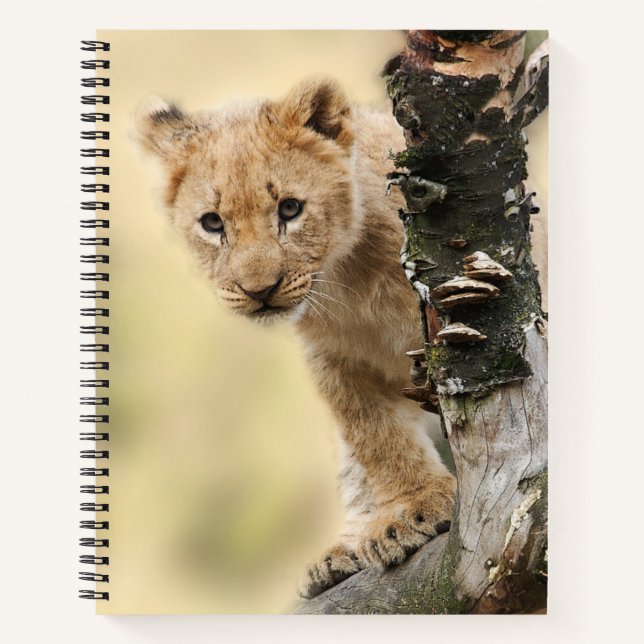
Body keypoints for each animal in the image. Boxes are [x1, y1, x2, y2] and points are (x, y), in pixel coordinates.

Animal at [135, 78, 456, 598]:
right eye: (212, 222)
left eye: (290, 209)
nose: (259, 291)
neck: (347, 278)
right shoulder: (332, 360)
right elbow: (375, 437)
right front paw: (409, 509)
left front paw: (417, 511)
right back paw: (343, 551)